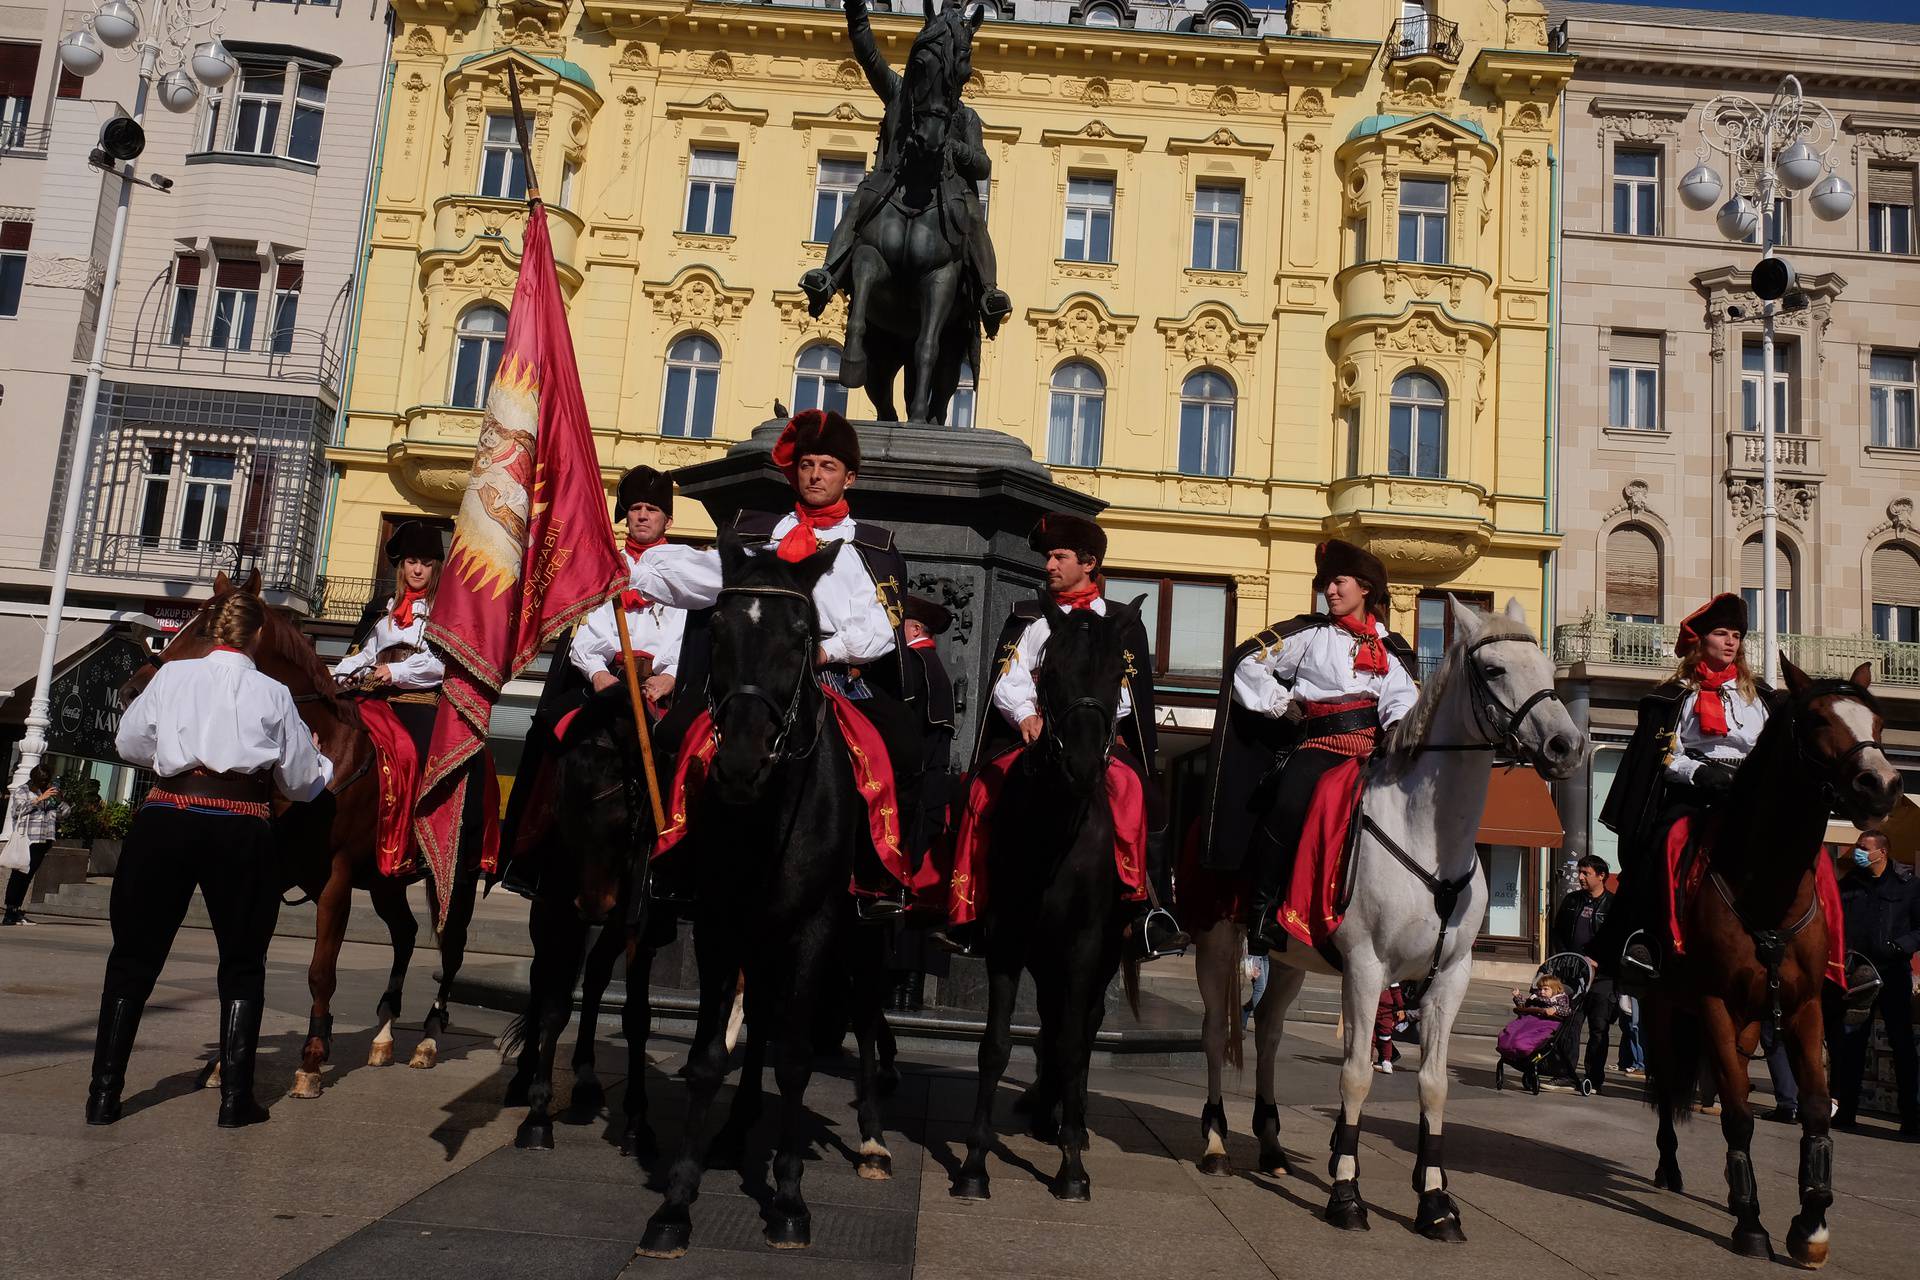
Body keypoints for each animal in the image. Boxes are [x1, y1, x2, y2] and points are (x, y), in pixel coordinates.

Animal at [125, 571, 487, 1105]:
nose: (133, 690)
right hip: (385, 881)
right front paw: (223, 1063)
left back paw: (427, 1038)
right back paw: (383, 1036)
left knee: (451, 946)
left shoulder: (335, 882)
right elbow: (248, 959)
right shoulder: (275, 875)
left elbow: (321, 971)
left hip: (454, 880)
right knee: (405, 933)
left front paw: (312, 1060)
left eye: (209, 631)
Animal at [633, 533, 894, 1258]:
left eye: (803, 635)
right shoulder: (720, 923)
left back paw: (872, 1140)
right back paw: (735, 1128)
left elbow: (799, 1060)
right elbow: (709, 1058)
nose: (742, 761)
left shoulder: (817, 927)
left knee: (864, 1018)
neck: (769, 815)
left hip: (863, 935)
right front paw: (676, 1202)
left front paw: (788, 1199)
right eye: (718, 628)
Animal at [956, 602, 1144, 1205]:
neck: (1056, 830)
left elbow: (1072, 1043)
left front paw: (1072, 1169)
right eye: (1050, 673)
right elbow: (995, 1046)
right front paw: (974, 1164)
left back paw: (1071, 1123)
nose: (1083, 766)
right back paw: (1046, 1111)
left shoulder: (1084, 945)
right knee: (1050, 1020)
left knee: (1079, 1028)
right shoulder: (1007, 939)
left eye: (1117, 674)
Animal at [1190, 602, 1582, 1243]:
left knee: (1268, 1032)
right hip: (1218, 944)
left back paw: (1270, 1144)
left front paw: (1435, 1200)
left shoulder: (1449, 975)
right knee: (1213, 1033)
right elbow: (1355, 1075)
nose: (1565, 743)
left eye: (1547, 668)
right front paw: (1346, 1194)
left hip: (1290, 958)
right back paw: (1217, 1142)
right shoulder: (1367, 967)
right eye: (1494, 668)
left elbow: (1435, 1083)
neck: (1429, 835)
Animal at [1635, 660, 1904, 1274]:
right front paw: (1751, 1224)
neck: (1767, 886)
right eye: (1816, 719)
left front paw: (1812, 1224)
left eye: (1879, 721)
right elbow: (1737, 1114)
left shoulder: (1805, 1008)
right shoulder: (1713, 1004)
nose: (1881, 783)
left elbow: (1816, 1110)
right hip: (1664, 1011)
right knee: (1666, 1084)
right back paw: (1669, 1168)